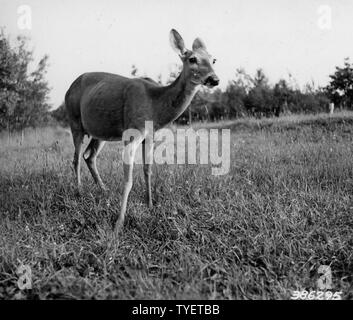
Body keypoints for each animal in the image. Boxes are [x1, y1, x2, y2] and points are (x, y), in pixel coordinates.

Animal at [63, 28, 217, 234]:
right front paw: (119, 223)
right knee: (76, 159)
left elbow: (147, 169)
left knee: (89, 156)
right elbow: (128, 180)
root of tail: (69, 88)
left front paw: (150, 204)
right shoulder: (132, 132)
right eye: (192, 59)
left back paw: (104, 190)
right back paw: (79, 192)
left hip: (101, 131)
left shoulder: (150, 136)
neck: (155, 104)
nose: (214, 79)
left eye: (213, 59)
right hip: (74, 121)